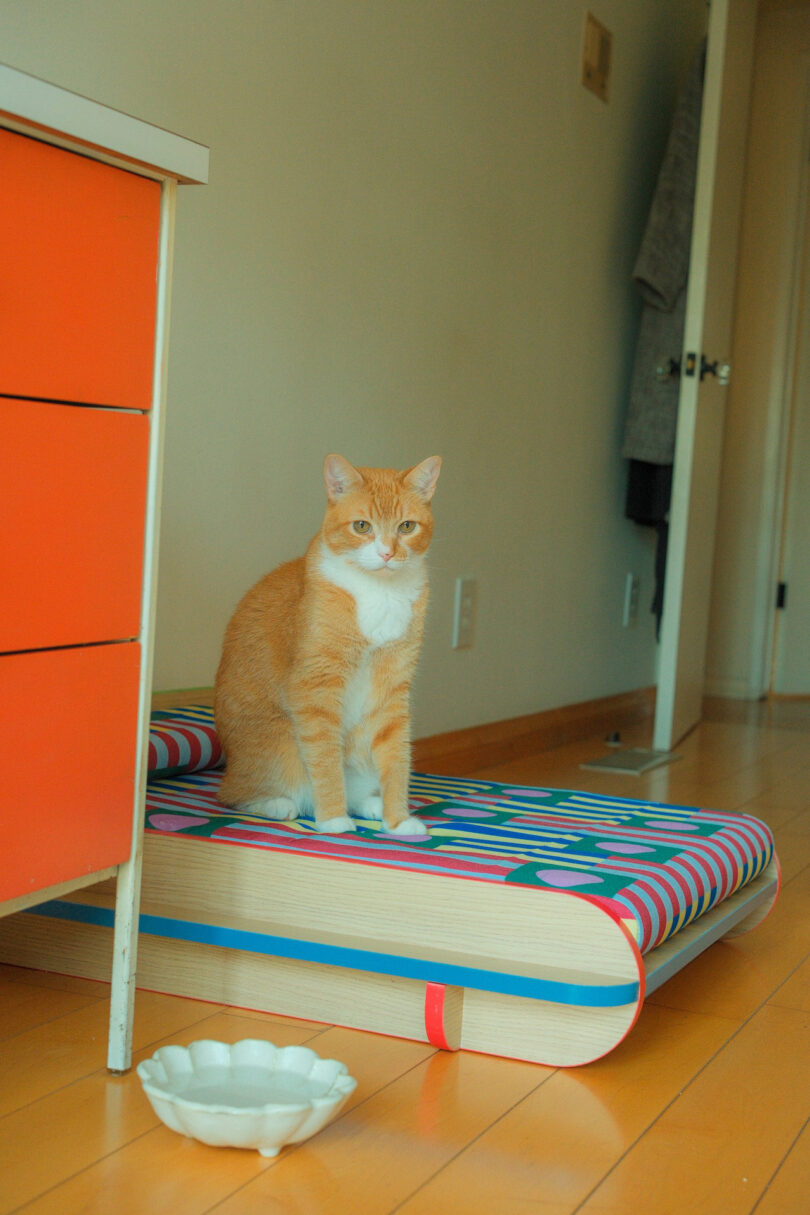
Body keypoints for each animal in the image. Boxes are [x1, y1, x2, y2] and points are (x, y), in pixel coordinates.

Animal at [214, 456, 439, 835]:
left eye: (407, 526)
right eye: (362, 526)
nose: (387, 553)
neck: (379, 592)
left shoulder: (393, 689)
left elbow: (397, 758)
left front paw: (398, 821)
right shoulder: (316, 686)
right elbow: (325, 760)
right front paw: (333, 820)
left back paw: (372, 804)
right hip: (282, 747)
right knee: (235, 794)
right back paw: (278, 804)